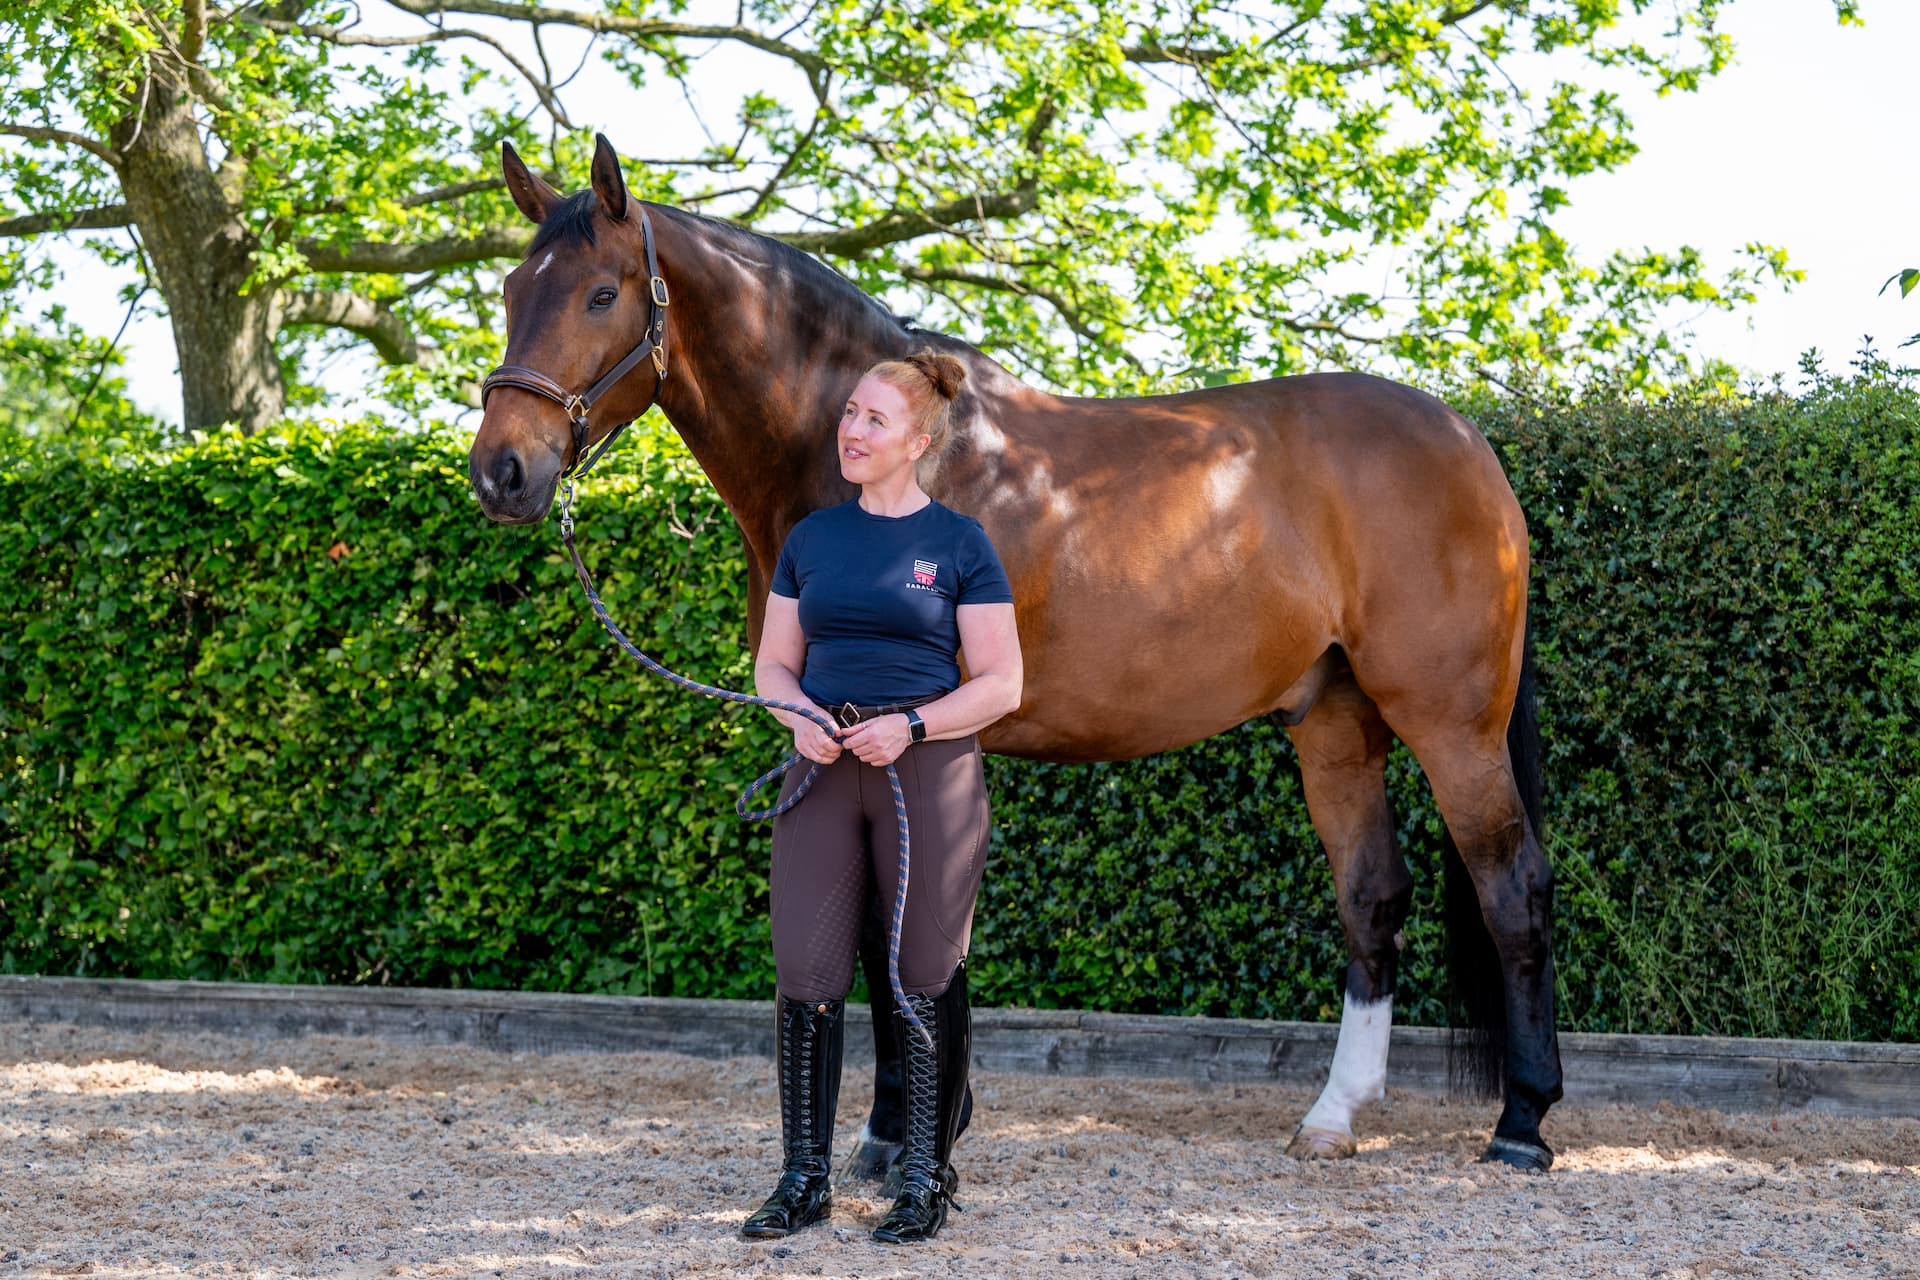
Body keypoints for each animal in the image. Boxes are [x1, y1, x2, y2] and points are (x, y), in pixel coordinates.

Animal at [467, 134, 1562, 1174]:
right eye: (514, 290)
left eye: (601, 292)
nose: (501, 472)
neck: (891, 471)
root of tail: (1470, 446)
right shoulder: (841, 731)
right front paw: (897, 1133)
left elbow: (910, 923)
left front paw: (905, 1135)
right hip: (1333, 720)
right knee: (1372, 897)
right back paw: (1333, 1116)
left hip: (1450, 722)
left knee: (1513, 888)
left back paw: (1522, 1124)